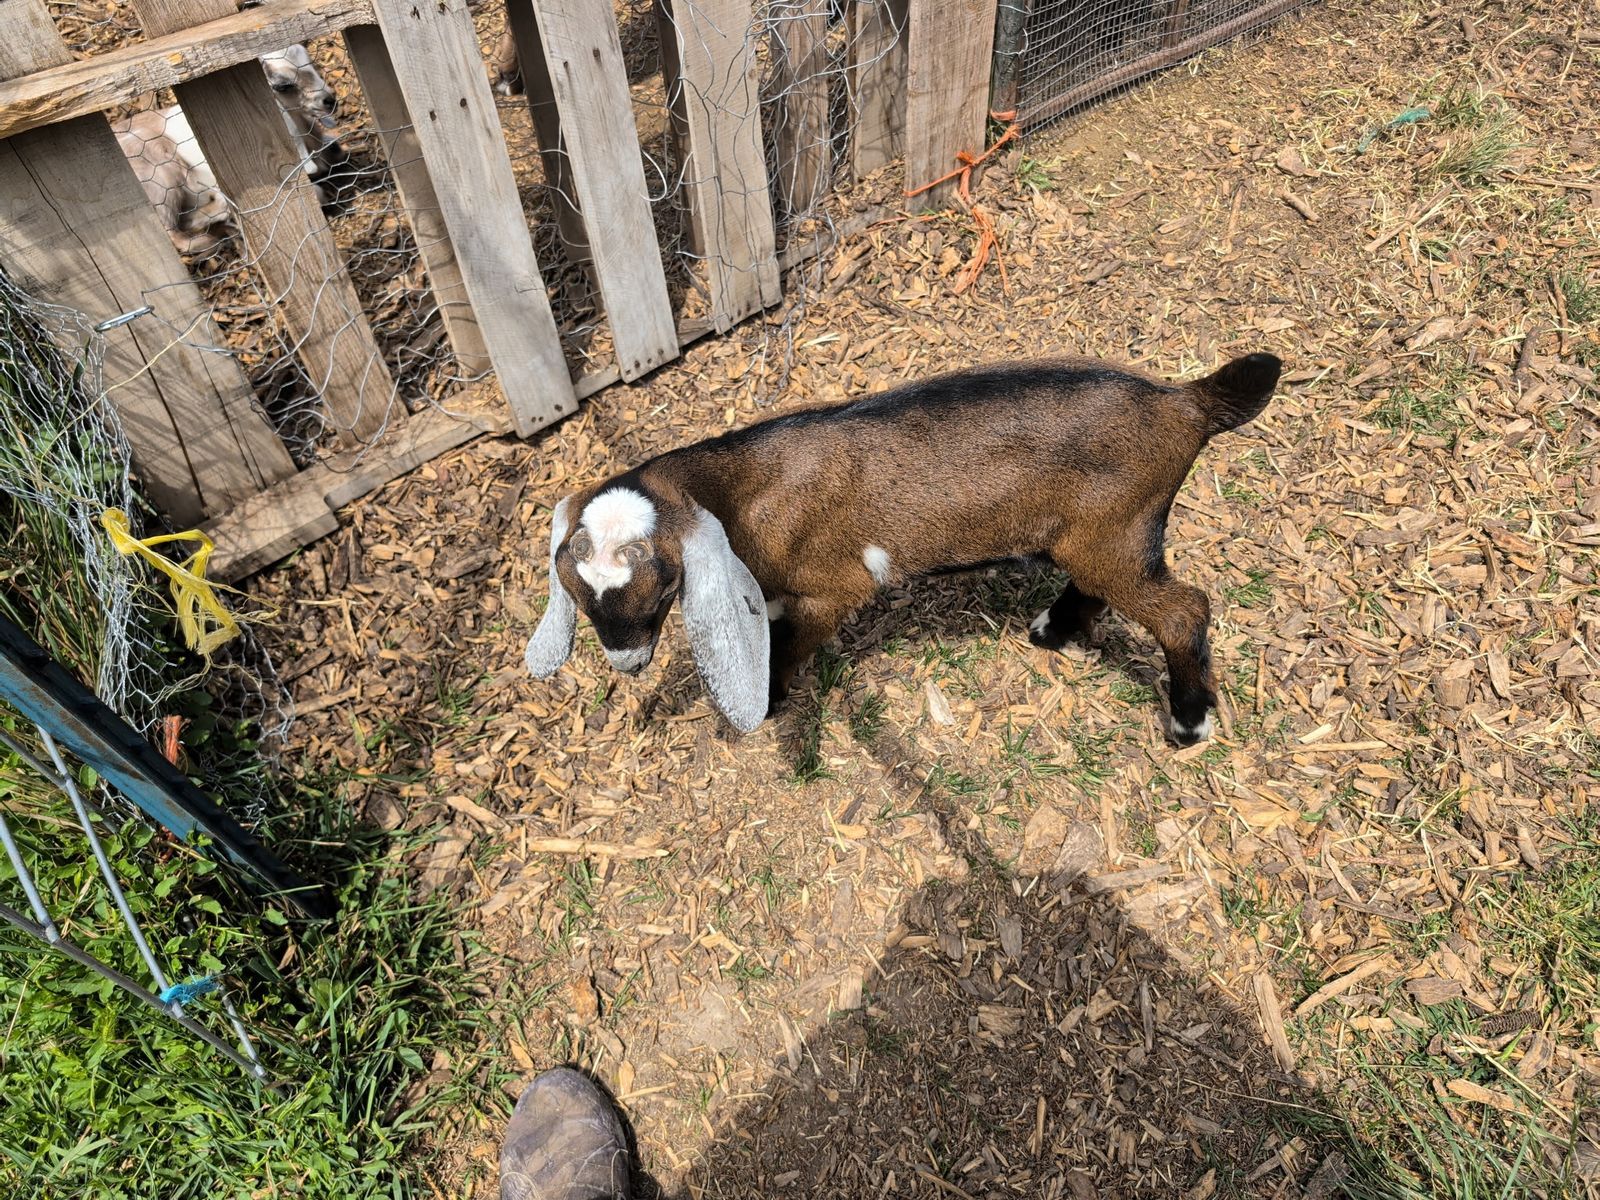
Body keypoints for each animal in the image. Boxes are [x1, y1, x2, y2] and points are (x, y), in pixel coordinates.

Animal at [525, 353, 1282, 742]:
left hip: (1117, 535)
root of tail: (1187, 404)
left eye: (661, 587)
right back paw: (1052, 631)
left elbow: (794, 641)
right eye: (580, 596)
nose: (625, 662)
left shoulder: (835, 587)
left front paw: (771, 700)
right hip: (1096, 537)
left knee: (1185, 610)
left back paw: (1188, 721)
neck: (740, 489)